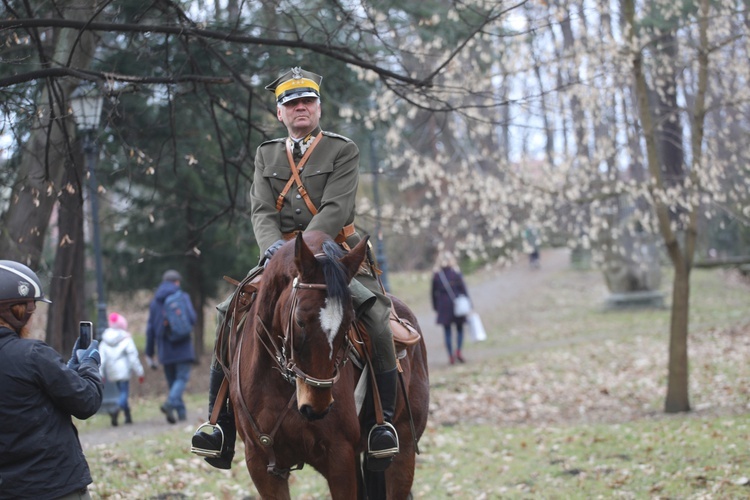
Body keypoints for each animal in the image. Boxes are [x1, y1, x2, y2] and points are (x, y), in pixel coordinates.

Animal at [229, 231, 428, 500]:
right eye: (300, 320)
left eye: (350, 321)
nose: (317, 405)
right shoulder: (262, 465)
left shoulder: (339, 458)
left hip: (403, 450)